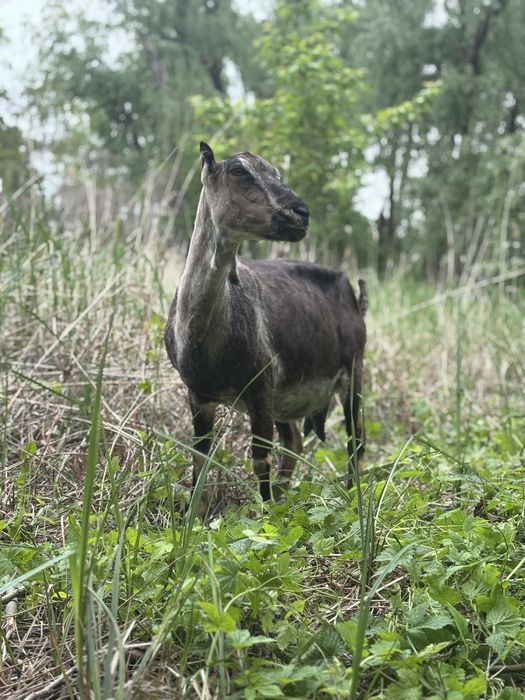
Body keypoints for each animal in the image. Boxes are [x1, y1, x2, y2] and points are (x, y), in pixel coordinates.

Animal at [164, 142, 367, 509]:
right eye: (239, 171)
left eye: (276, 173)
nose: (300, 214)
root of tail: (356, 297)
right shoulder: (198, 394)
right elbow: (200, 458)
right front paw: (192, 515)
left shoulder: (260, 386)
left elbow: (260, 458)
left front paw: (266, 512)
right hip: (285, 399)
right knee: (295, 441)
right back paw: (286, 497)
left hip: (353, 370)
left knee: (354, 438)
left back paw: (350, 496)